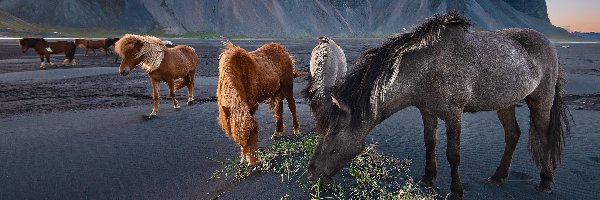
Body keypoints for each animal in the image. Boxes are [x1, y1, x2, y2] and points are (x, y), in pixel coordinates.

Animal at [310, 11, 572, 199]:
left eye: (333, 134)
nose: (312, 173)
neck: (426, 68)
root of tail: (548, 43)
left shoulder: (453, 114)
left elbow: (453, 154)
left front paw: (456, 190)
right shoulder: (427, 112)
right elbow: (430, 143)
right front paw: (428, 177)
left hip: (541, 101)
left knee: (545, 137)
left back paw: (546, 182)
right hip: (505, 103)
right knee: (513, 135)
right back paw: (498, 177)